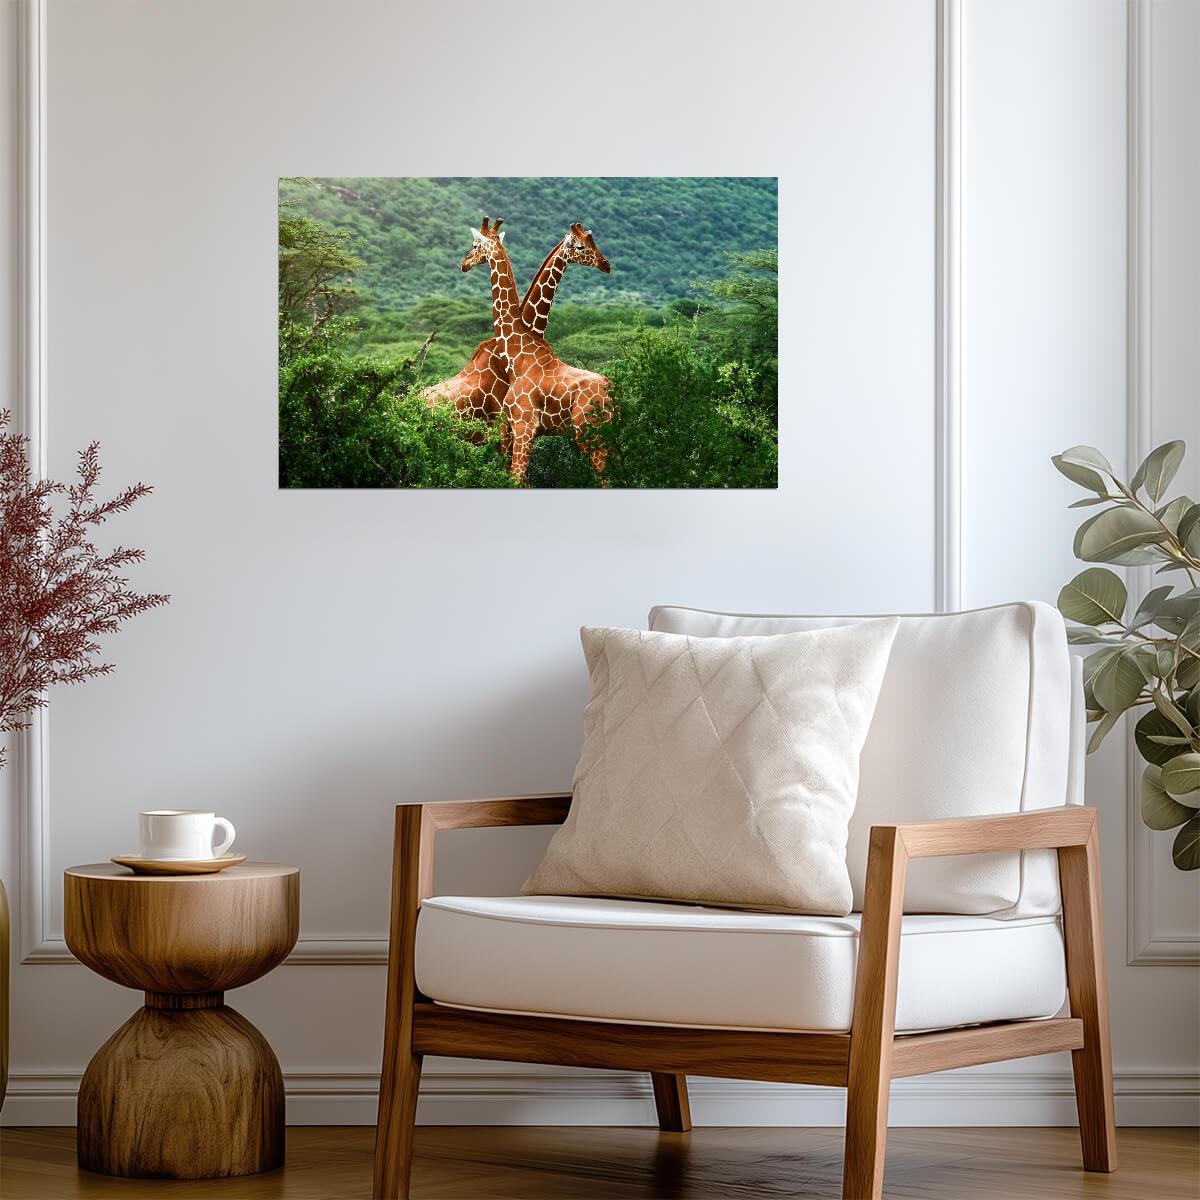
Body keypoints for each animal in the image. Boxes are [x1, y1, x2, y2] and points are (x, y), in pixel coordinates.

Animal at [461, 219, 613, 485]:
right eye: (582, 246)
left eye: (474, 244)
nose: (464, 263)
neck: (518, 350)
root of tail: (611, 392)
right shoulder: (511, 427)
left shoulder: (523, 425)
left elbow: (516, 479)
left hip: (590, 433)